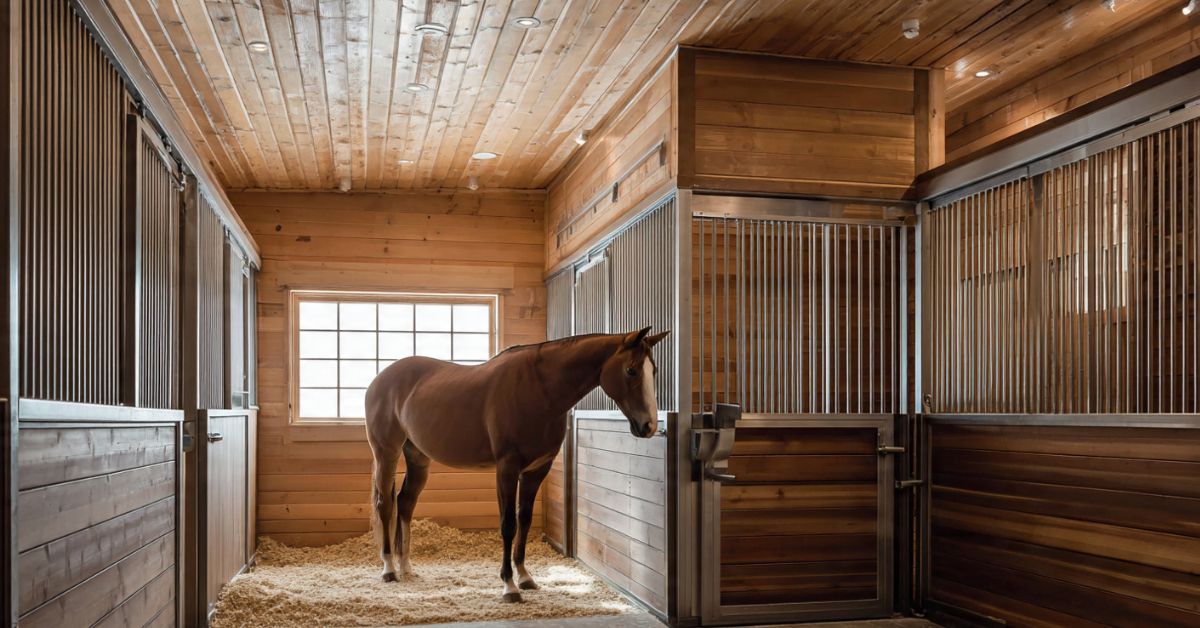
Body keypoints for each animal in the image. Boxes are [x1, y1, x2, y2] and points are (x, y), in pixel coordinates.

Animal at [364, 326, 670, 602]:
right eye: (631, 370)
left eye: (654, 371)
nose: (649, 426)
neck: (539, 390)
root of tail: (379, 380)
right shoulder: (507, 469)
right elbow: (508, 524)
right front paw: (509, 586)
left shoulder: (536, 470)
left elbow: (525, 519)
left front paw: (525, 577)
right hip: (386, 453)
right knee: (385, 504)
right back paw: (389, 569)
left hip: (418, 457)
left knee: (405, 502)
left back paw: (406, 567)